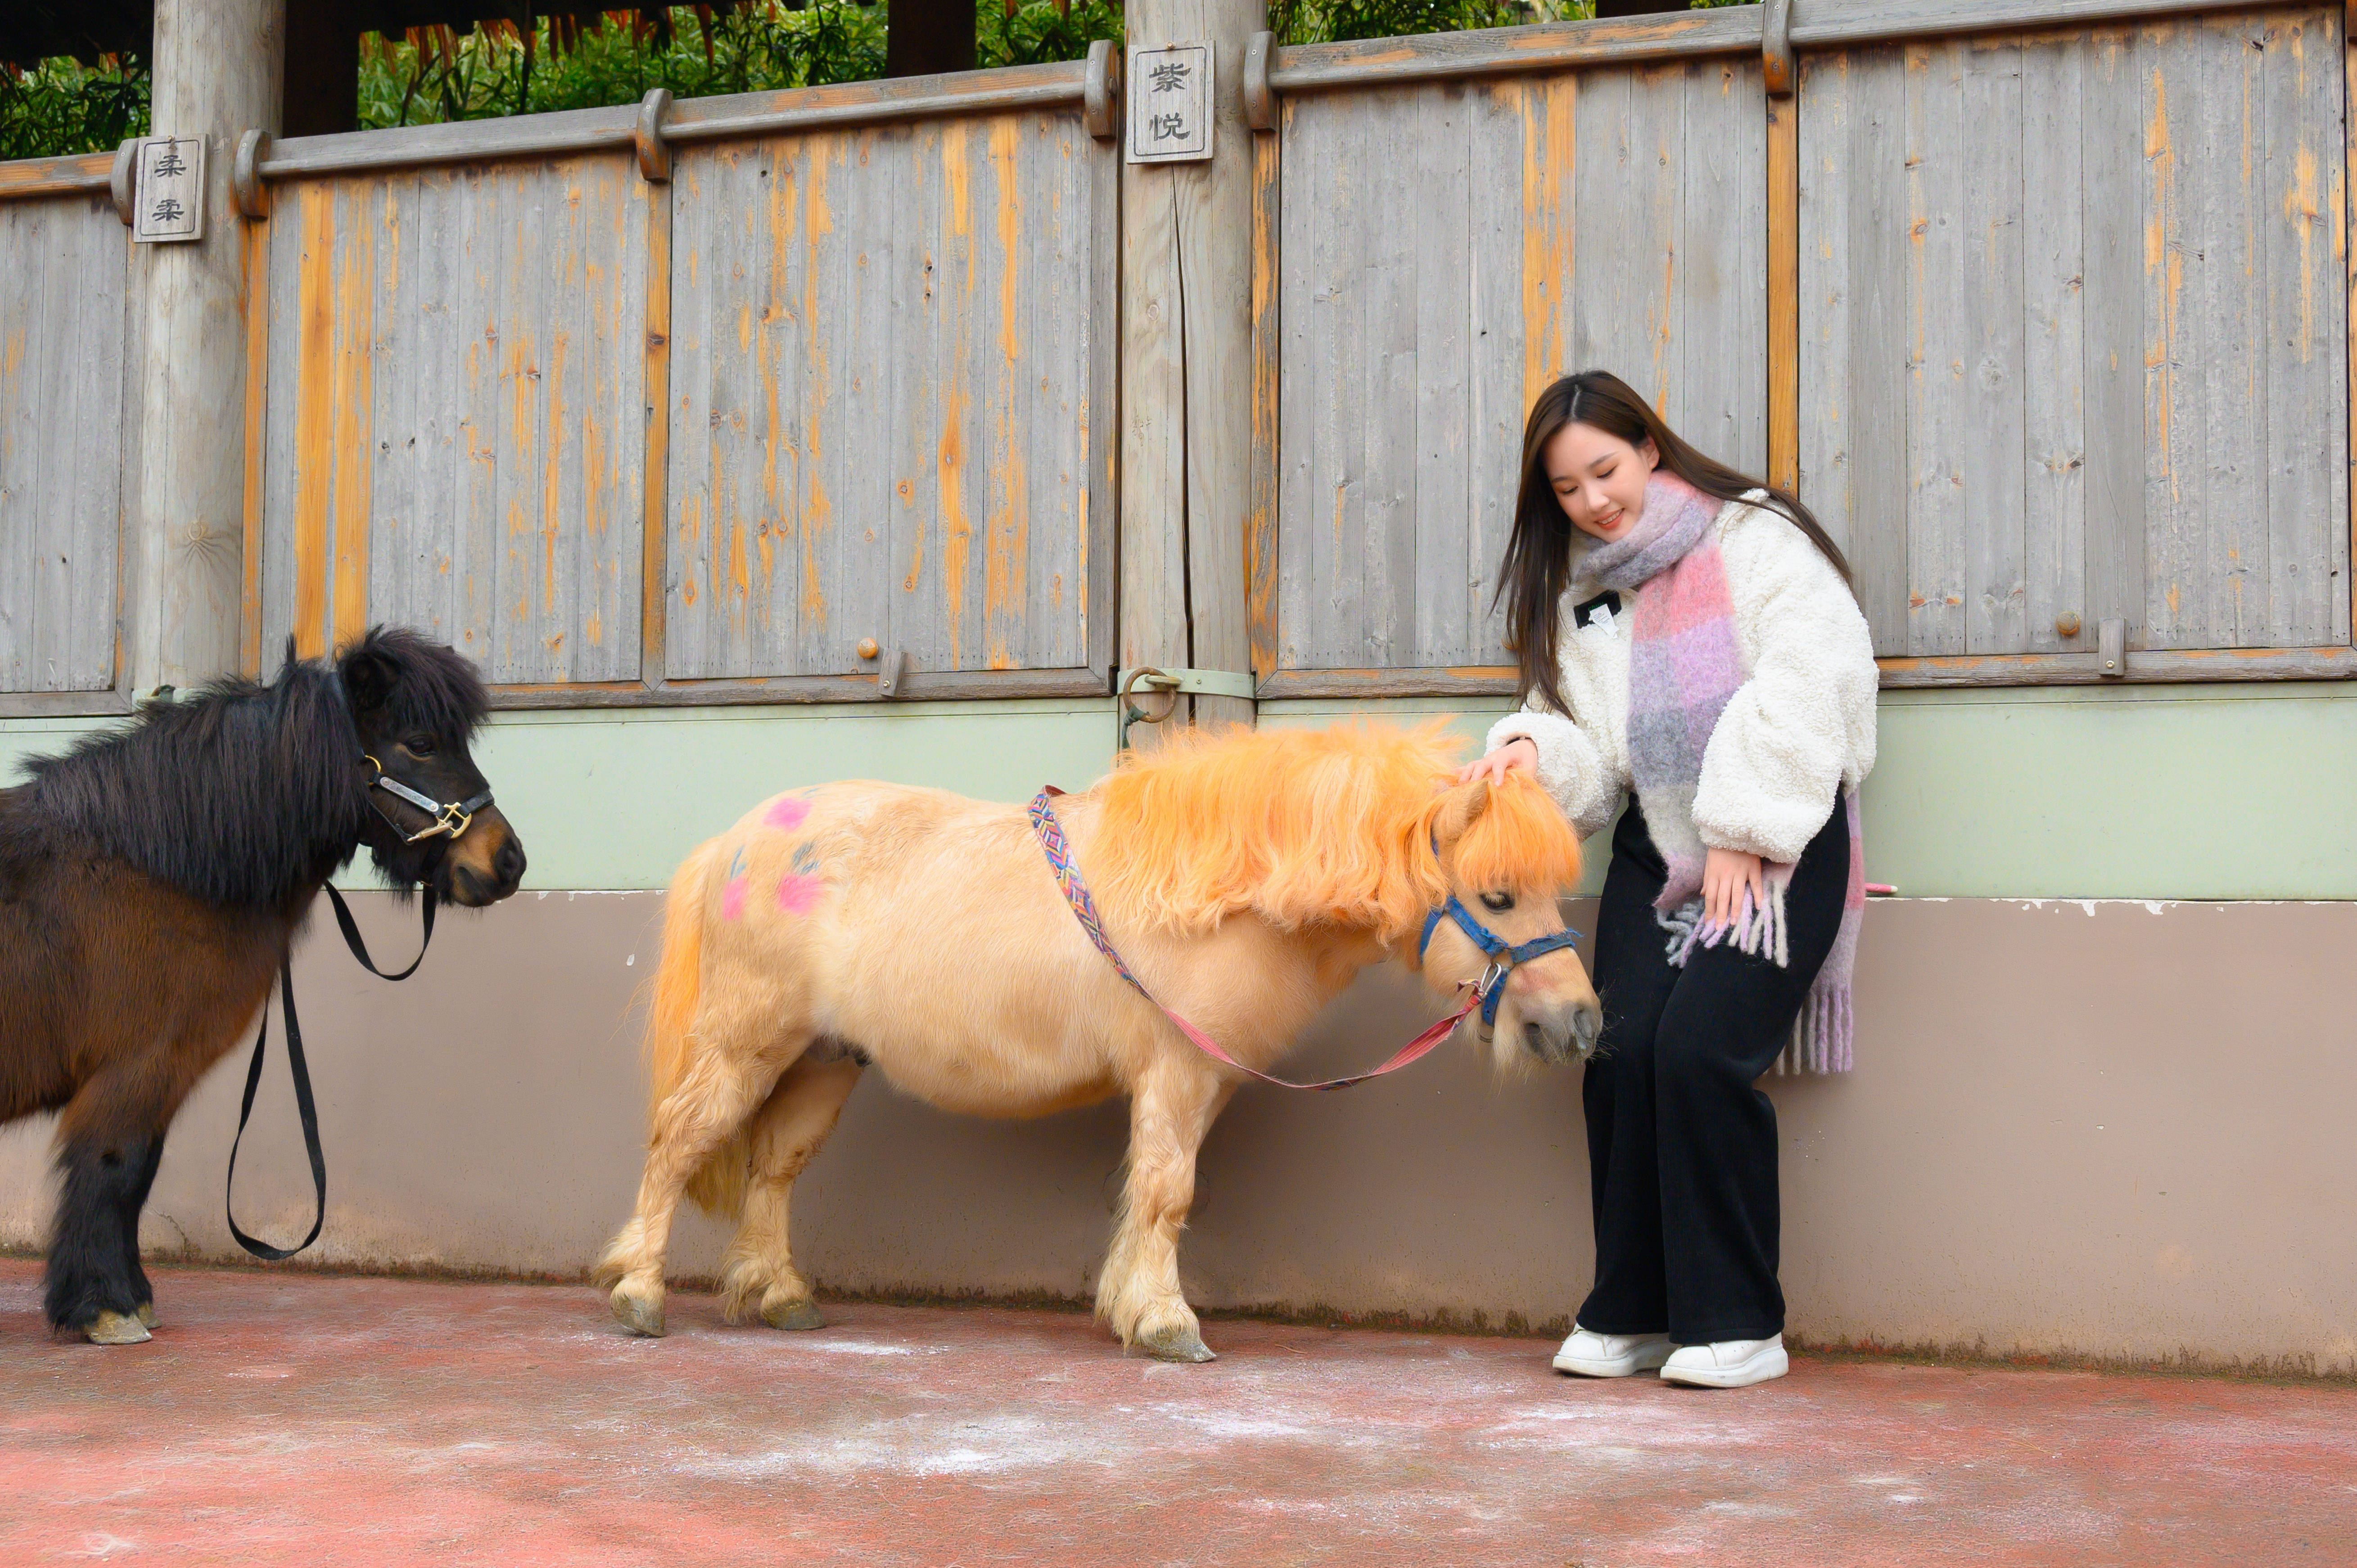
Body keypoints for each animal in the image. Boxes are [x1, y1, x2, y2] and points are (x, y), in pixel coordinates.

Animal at [0, 632, 525, 1339]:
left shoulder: (159, 1075)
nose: (508, 862)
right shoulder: (135, 1070)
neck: (155, 868)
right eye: (420, 743)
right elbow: (115, 1168)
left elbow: (138, 1178)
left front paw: (129, 1294)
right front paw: (105, 1306)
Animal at [598, 721, 1612, 1358]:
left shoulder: (1203, 1080)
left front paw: (1129, 1303)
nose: (1581, 1022)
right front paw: (1166, 1323)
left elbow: (1151, 1192)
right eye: (1496, 895)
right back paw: (639, 1291)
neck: (1220, 889)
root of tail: (732, 842)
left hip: (821, 1060)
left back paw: (780, 1293)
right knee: (678, 1140)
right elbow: (1168, 1190)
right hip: (745, 1044)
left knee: (774, 1166)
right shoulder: (1176, 1068)